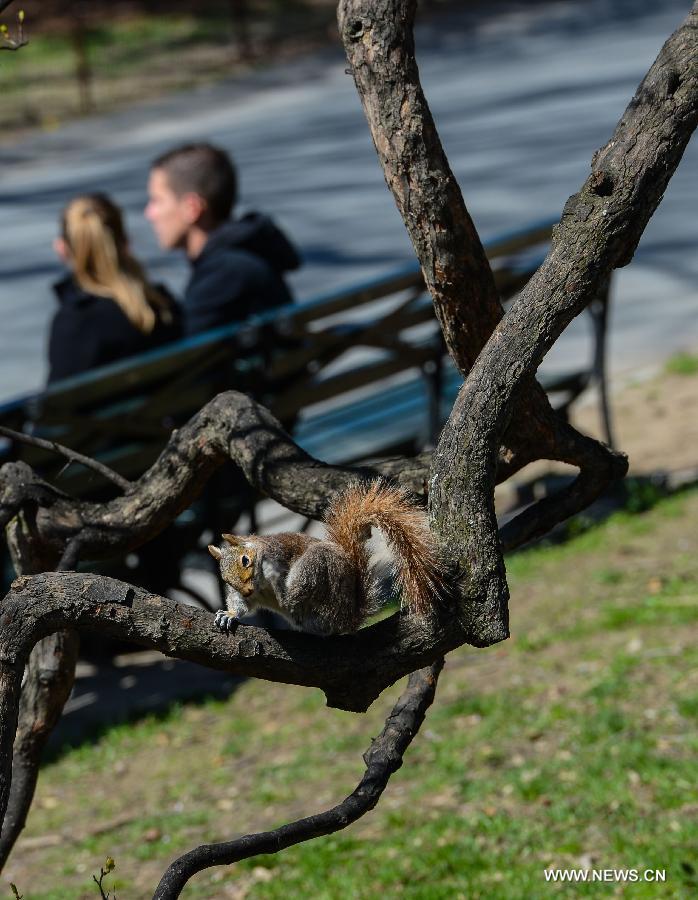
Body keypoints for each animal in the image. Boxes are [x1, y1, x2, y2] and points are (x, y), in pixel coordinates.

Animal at [208, 482, 446, 636]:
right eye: (225, 580)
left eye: (245, 561)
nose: (247, 590)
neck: (260, 587)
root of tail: (349, 617)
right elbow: (241, 604)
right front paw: (229, 614)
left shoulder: (277, 552)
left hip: (317, 566)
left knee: (294, 594)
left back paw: (279, 585)